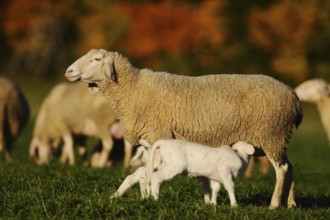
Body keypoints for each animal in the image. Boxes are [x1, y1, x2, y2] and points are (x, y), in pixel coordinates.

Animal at [65, 48, 304, 208]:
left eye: (96, 59)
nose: (68, 71)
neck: (133, 89)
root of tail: (294, 97)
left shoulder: (159, 135)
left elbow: (149, 173)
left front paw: (151, 198)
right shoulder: (150, 142)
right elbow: (142, 173)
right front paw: (134, 196)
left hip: (271, 134)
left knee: (282, 170)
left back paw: (274, 204)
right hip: (277, 139)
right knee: (290, 167)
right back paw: (290, 204)